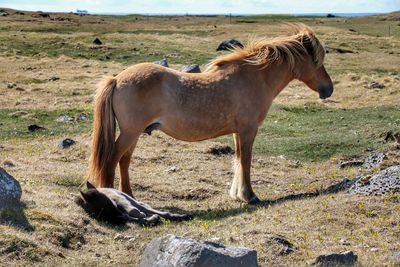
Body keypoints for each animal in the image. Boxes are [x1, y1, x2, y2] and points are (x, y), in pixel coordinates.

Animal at [88, 24, 334, 205]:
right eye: (316, 61)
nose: (328, 89)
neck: (254, 77)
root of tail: (116, 79)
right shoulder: (248, 130)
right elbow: (246, 160)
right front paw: (250, 196)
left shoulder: (238, 132)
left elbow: (238, 159)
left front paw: (238, 194)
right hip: (131, 132)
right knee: (112, 159)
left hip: (134, 134)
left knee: (124, 160)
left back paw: (130, 197)